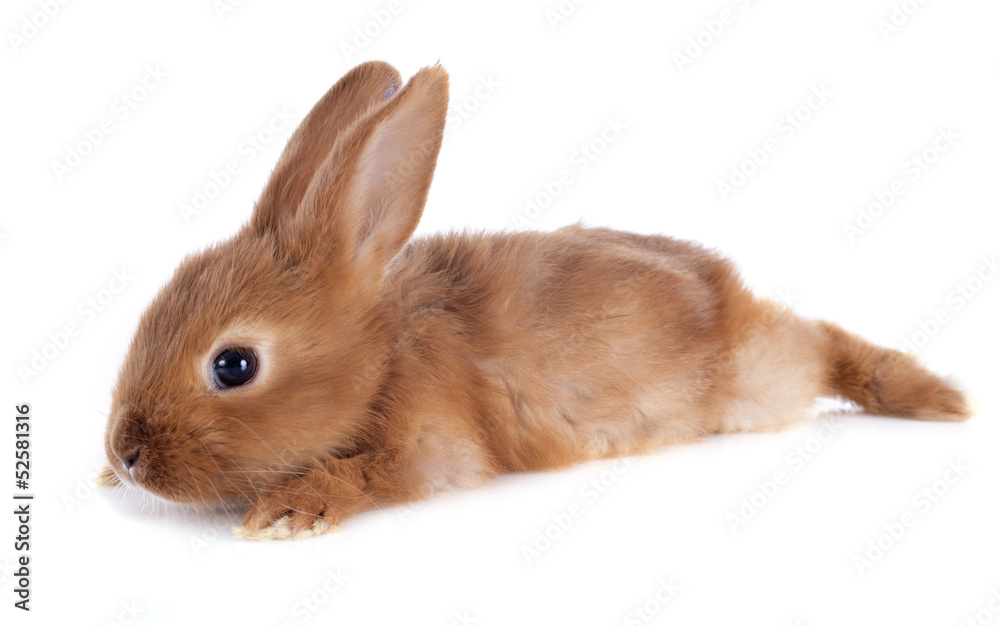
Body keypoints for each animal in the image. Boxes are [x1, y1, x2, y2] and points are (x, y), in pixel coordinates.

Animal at [100, 60, 971, 540]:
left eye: (234, 365)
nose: (125, 454)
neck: (380, 355)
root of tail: (734, 301)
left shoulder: (429, 448)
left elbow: (372, 474)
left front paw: (288, 510)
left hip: (761, 379)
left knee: (826, 347)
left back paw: (936, 397)